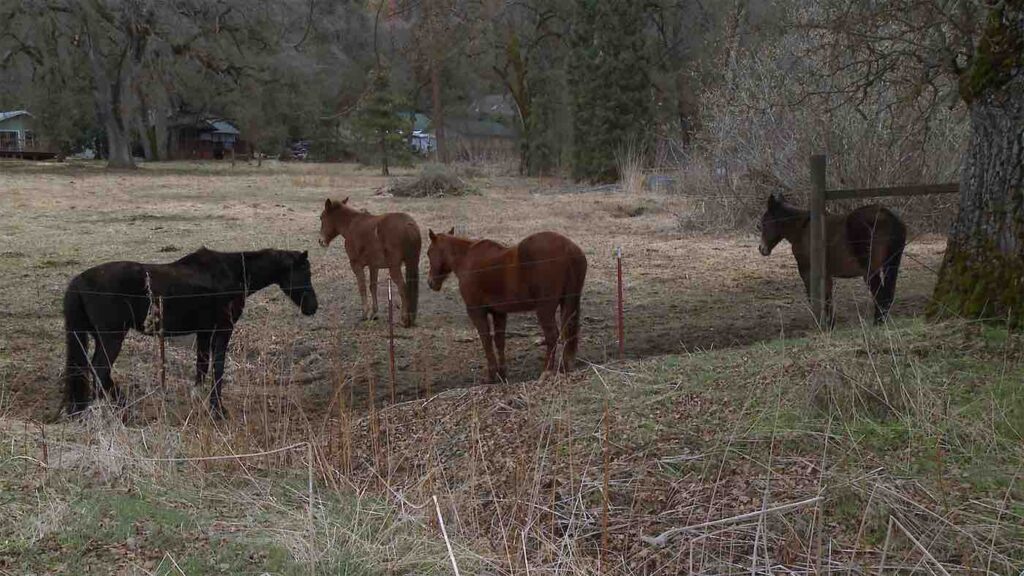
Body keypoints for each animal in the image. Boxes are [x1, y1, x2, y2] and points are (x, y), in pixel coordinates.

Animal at [62, 247, 317, 416]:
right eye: (305, 273)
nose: (312, 307)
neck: (232, 274)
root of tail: (79, 281)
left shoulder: (204, 332)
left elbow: (202, 365)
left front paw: (199, 399)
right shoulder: (223, 329)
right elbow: (217, 367)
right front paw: (217, 409)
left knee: (92, 369)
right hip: (112, 337)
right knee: (100, 369)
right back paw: (123, 408)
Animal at [315, 195, 419, 323]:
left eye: (321, 218)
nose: (321, 241)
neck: (351, 225)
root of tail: (409, 224)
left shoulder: (356, 264)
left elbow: (362, 287)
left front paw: (364, 313)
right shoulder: (374, 266)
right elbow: (372, 287)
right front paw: (374, 313)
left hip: (394, 268)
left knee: (403, 289)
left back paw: (404, 319)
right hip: (412, 262)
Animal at [425, 227, 589, 381]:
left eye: (428, 253)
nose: (431, 282)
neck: (467, 259)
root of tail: (569, 248)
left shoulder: (476, 311)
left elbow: (486, 341)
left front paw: (492, 376)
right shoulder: (499, 312)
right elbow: (499, 341)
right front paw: (502, 374)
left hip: (545, 309)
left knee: (552, 336)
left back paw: (546, 371)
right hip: (568, 303)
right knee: (568, 333)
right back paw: (565, 368)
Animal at [757, 193, 909, 323]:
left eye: (764, 222)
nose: (762, 249)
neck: (803, 229)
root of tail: (887, 216)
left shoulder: (807, 273)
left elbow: (817, 297)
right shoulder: (825, 274)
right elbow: (827, 297)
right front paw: (830, 323)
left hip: (871, 269)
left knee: (880, 293)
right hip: (891, 264)